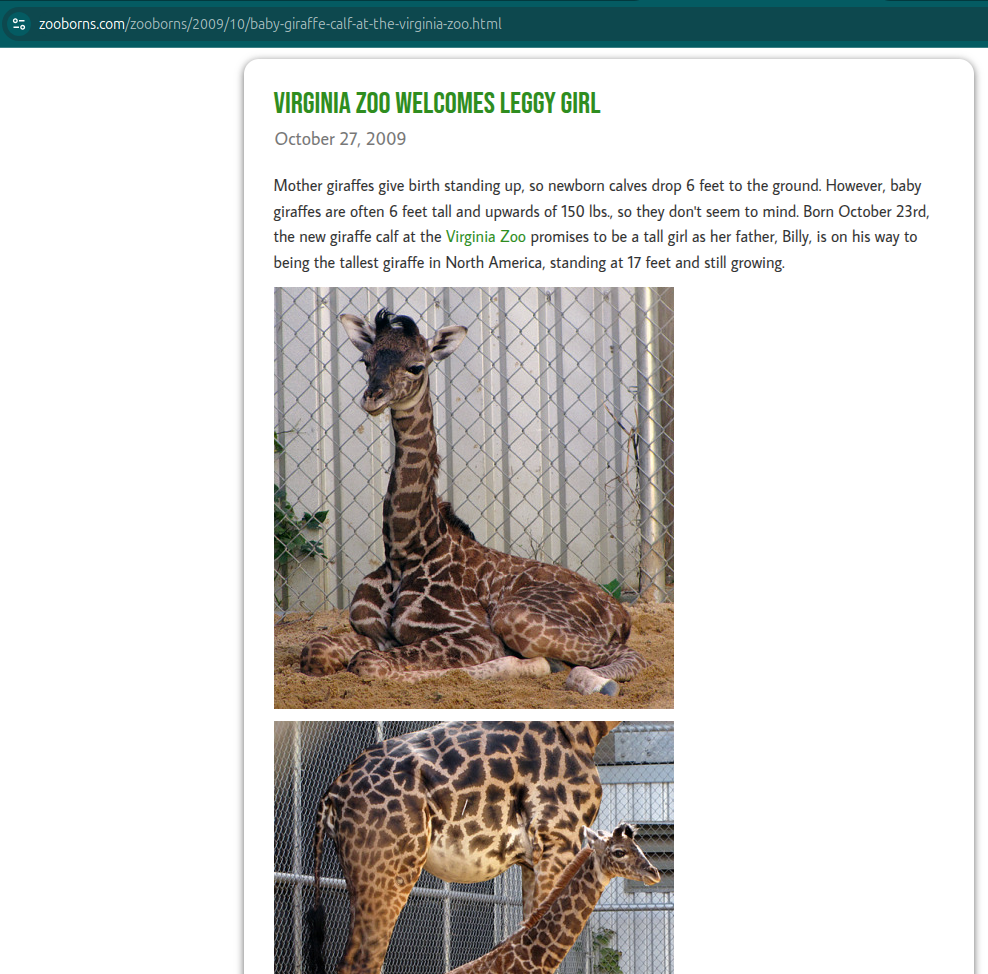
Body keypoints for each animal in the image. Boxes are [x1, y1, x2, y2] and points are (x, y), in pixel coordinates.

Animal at [299, 308, 646, 695]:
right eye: (366, 360)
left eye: (416, 366)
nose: (373, 397)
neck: (405, 551)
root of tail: (622, 614)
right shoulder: (373, 632)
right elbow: (316, 650)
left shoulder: (475, 634)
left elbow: (371, 664)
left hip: (515, 616)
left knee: (629, 656)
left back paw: (587, 679)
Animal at [306, 720, 620, 974]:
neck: (584, 730)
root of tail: (331, 796)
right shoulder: (559, 837)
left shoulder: (533, 859)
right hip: (389, 870)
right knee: (360, 962)